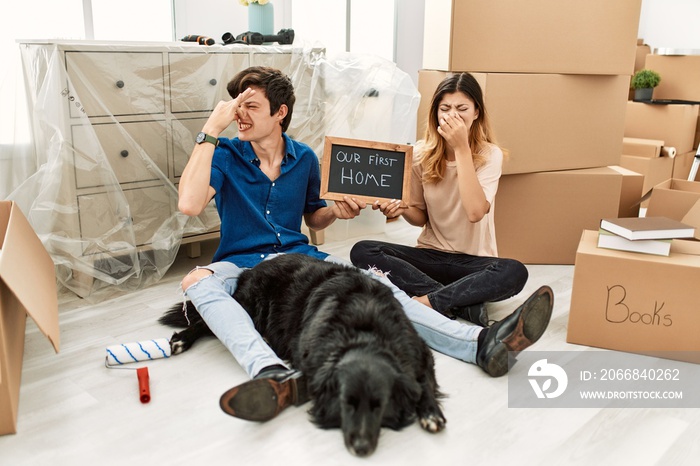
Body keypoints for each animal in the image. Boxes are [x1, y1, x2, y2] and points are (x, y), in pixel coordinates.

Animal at [159, 255, 446, 456]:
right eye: (346, 404)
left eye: (380, 405)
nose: (361, 448)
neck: (365, 332)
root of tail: (251, 268)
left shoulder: (418, 353)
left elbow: (425, 384)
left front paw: (431, 413)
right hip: (248, 306)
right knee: (206, 322)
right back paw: (182, 339)